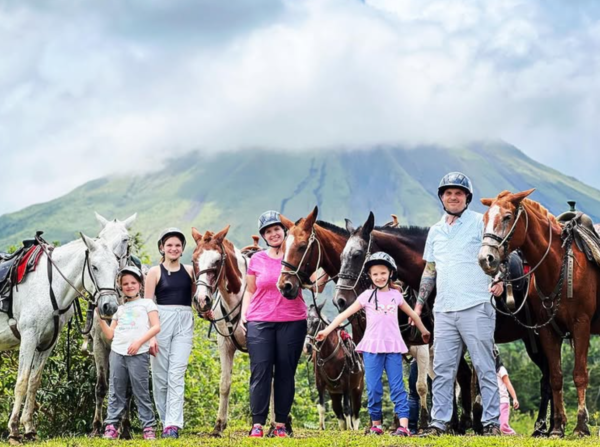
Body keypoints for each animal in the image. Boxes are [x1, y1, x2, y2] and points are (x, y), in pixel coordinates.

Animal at [0, 234, 119, 444]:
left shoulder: (47, 343)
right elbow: (22, 382)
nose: (109, 307)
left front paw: (29, 428)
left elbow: (34, 382)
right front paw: (14, 430)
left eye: (116, 267)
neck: (51, 285)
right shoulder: (29, 336)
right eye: (94, 267)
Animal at [478, 190, 600, 438]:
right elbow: (555, 377)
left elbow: (579, 374)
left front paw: (580, 426)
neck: (557, 265)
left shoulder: (581, 325)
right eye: (485, 218)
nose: (486, 258)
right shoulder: (546, 330)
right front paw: (557, 427)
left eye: (507, 217)